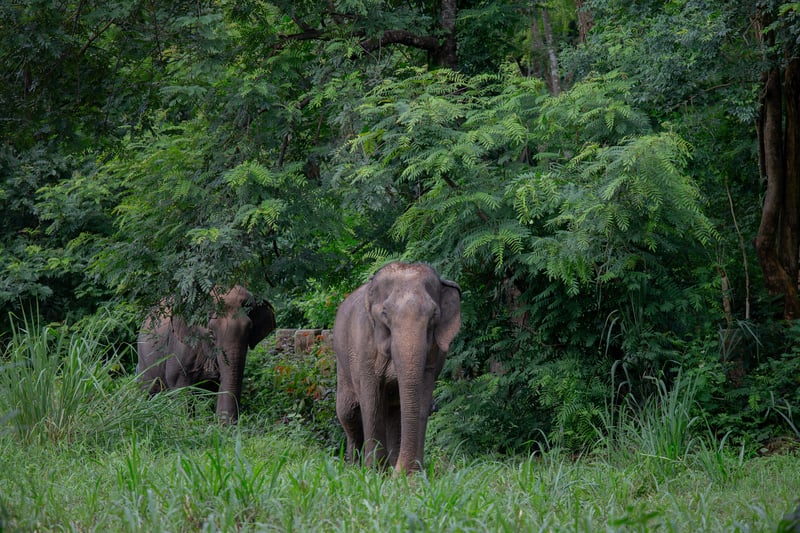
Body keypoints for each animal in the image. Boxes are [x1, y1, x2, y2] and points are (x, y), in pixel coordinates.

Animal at [137, 285, 276, 423]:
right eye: (211, 333)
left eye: (250, 331)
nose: (230, 425)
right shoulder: (180, 347)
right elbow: (179, 386)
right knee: (149, 390)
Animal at [333, 262, 461, 474]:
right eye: (385, 314)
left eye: (434, 315)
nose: (401, 473)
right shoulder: (363, 348)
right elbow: (371, 401)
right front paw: (374, 473)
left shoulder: (434, 354)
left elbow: (421, 399)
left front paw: (411, 474)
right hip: (343, 367)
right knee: (348, 414)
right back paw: (353, 468)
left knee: (394, 414)